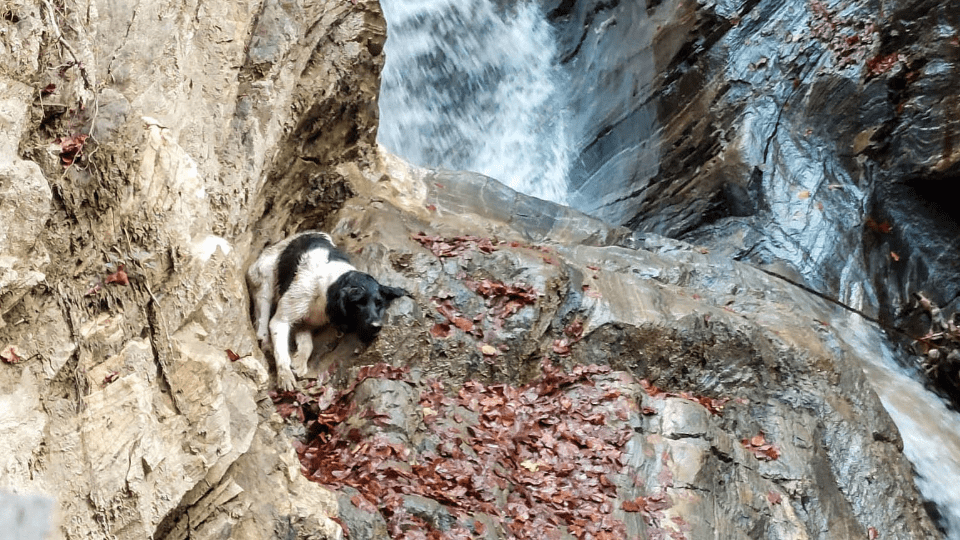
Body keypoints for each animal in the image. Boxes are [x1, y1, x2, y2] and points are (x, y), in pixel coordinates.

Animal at [246, 230, 406, 390]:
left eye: (379, 303)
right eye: (358, 303)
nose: (376, 326)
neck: (329, 285)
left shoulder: (307, 322)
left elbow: (308, 345)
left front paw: (299, 364)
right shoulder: (282, 319)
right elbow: (282, 353)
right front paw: (285, 376)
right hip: (265, 284)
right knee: (262, 322)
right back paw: (265, 343)